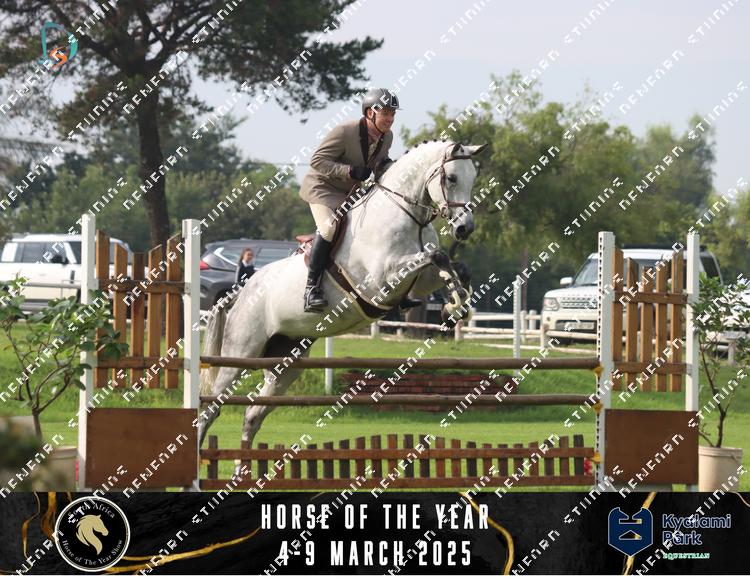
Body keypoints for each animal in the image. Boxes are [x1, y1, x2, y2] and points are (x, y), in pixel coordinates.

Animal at [196, 140, 487, 470]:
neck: (406, 215)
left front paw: (456, 305)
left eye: (473, 177)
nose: (465, 228)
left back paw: (241, 470)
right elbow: (437, 256)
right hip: (241, 353)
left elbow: (453, 266)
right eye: (451, 178)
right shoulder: (381, 282)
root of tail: (242, 292)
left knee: (252, 414)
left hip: (285, 363)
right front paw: (455, 301)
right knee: (212, 406)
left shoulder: (420, 281)